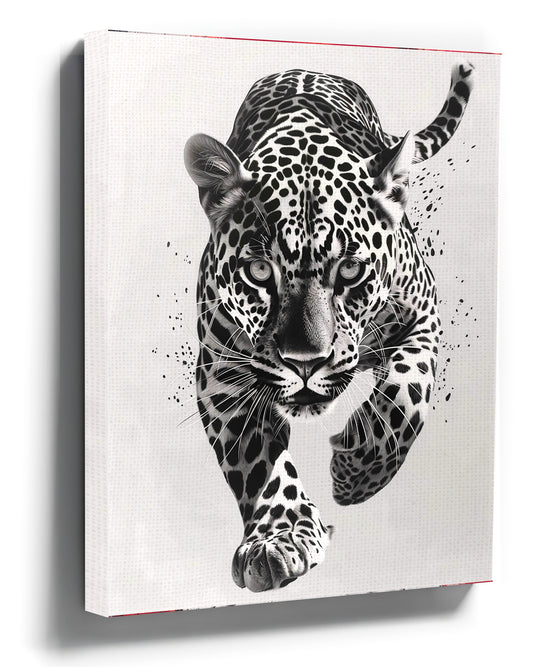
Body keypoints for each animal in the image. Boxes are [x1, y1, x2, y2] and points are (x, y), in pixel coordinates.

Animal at [184, 63, 475, 592]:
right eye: (259, 272)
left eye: (351, 270)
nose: (305, 363)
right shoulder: (221, 372)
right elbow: (257, 462)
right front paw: (279, 538)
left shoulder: (423, 317)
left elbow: (405, 397)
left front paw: (353, 475)